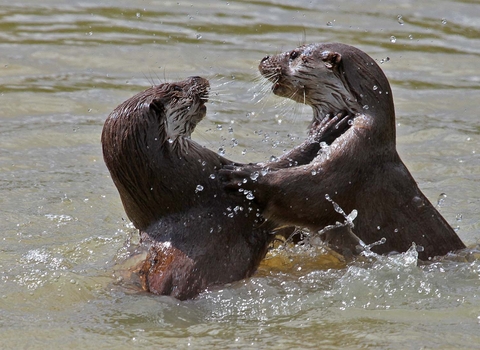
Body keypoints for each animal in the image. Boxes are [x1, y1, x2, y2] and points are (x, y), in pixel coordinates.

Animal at [101, 75, 348, 300]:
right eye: (175, 87)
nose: (197, 77)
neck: (186, 185)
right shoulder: (224, 187)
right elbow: (279, 167)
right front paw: (326, 129)